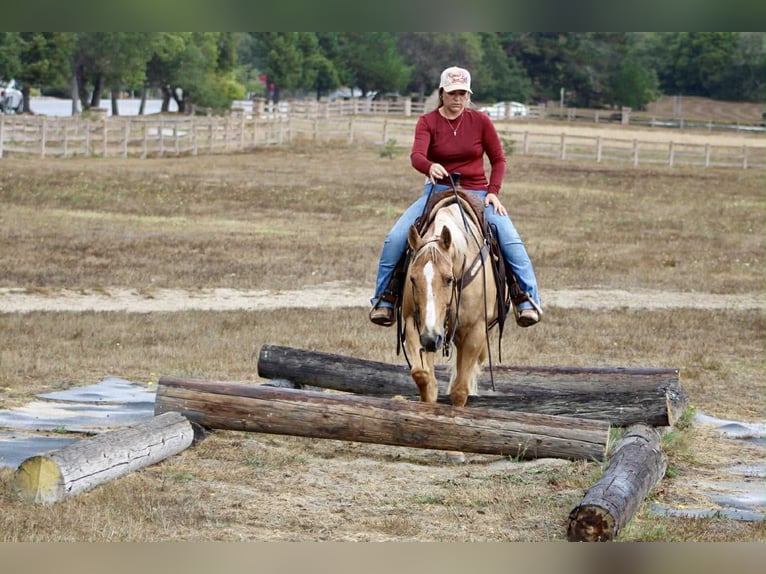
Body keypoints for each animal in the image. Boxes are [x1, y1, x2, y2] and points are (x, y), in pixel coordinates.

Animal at [400, 192, 500, 460]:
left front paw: (456, 448)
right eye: (412, 278)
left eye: (448, 279)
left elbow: (459, 390)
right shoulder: (414, 324)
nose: (431, 339)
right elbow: (423, 376)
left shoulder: (474, 332)